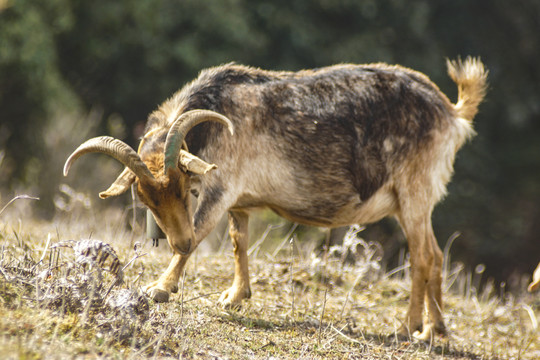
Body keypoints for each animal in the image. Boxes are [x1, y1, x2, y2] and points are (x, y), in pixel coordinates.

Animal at [65, 57, 488, 338]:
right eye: (146, 199)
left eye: (185, 185)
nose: (177, 240)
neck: (217, 114)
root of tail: (451, 112)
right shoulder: (239, 202)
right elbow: (239, 241)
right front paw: (235, 296)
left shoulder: (223, 187)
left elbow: (202, 231)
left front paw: (160, 288)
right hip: (412, 200)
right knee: (436, 255)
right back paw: (437, 329)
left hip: (414, 188)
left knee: (423, 256)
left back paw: (408, 327)